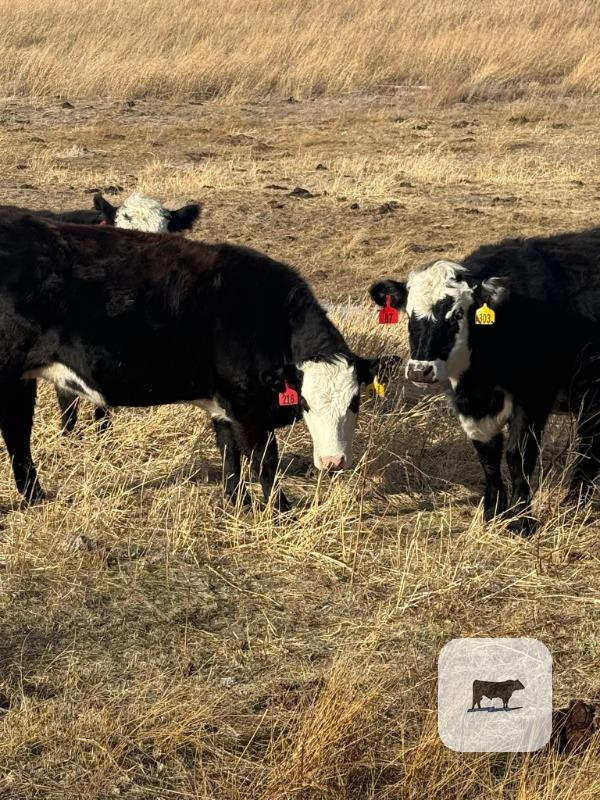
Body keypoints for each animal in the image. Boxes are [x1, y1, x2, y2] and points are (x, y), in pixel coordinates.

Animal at [0, 211, 383, 511]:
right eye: (305, 403)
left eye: (355, 401)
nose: (333, 462)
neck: (265, 316)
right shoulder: (247, 405)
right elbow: (264, 458)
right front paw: (281, 509)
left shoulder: (224, 405)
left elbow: (229, 453)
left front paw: (237, 502)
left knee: (18, 434)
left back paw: (35, 497)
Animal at [370, 227, 600, 535]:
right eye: (409, 314)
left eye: (457, 314)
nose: (420, 370)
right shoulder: (470, 407)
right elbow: (488, 457)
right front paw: (493, 513)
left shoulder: (534, 398)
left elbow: (518, 456)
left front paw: (522, 521)